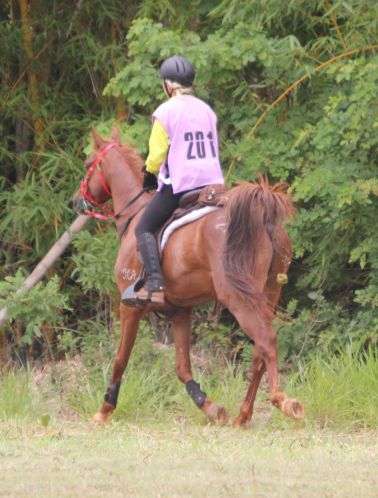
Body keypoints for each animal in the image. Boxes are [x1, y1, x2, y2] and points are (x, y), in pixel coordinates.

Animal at [72, 126, 304, 426]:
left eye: (88, 163)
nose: (76, 201)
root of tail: (262, 218)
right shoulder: (180, 311)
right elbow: (183, 368)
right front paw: (210, 407)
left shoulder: (129, 307)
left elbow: (120, 359)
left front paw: (104, 410)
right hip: (269, 293)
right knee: (258, 352)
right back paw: (243, 415)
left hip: (238, 298)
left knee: (267, 342)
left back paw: (282, 400)